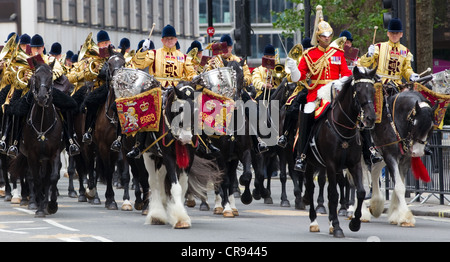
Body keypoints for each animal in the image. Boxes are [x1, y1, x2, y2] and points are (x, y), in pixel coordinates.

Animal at [302, 67, 380, 237]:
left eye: (372, 90)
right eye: (358, 90)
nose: (370, 118)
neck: (344, 128)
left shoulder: (354, 164)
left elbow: (360, 192)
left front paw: (354, 223)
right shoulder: (331, 164)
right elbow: (333, 194)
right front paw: (338, 227)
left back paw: (331, 222)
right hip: (310, 164)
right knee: (311, 188)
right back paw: (314, 222)